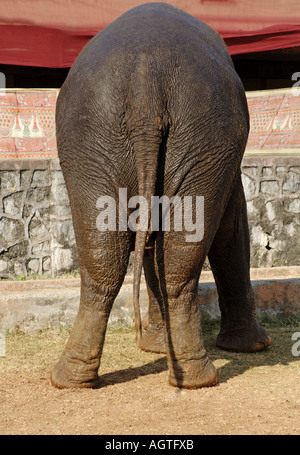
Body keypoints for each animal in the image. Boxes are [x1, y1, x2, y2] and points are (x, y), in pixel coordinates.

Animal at [50, 1, 270, 390]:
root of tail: (145, 83)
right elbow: (232, 228)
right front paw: (254, 346)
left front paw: (153, 346)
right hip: (197, 135)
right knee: (178, 254)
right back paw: (198, 379)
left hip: (95, 139)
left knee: (102, 254)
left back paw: (70, 379)